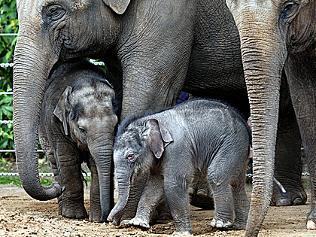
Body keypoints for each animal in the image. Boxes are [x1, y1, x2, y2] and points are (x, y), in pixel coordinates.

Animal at [39, 59, 118, 222]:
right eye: (82, 129)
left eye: (115, 125)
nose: (106, 217)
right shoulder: (54, 123)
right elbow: (68, 159)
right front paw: (74, 216)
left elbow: (95, 164)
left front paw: (96, 218)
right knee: (54, 161)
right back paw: (62, 210)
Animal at [108, 99, 252, 234]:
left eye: (130, 156)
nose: (110, 220)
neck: (151, 120)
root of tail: (244, 123)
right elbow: (154, 185)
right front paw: (137, 224)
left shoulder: (177, 148)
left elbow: (175, 183)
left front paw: (181, 233)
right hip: (238, 149)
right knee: (236, 184)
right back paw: (240, 226)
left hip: (232, 144)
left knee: (217, 175)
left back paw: (220, 225)